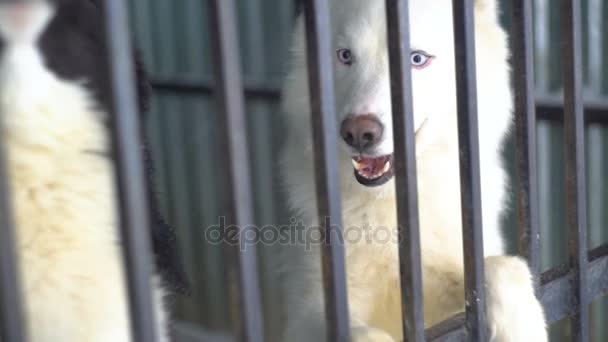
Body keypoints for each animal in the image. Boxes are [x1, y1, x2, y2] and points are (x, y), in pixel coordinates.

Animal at [280, 0, 548, 340]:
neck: (392, 205)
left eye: (417, 59)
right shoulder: (308, 307)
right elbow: (362, 333)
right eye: (345, 56)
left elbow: (500, 266)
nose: (358, 133)